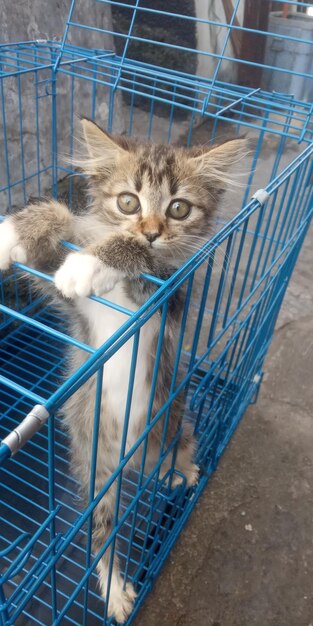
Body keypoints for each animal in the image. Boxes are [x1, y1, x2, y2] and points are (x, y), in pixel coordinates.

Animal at [0, 119, 244, 620]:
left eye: (179, 208)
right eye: (127, 201)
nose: (151, 231)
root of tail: (134, 462)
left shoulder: (169, 294)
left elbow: (144, 258)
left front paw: (95, 260)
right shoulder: (72, 309)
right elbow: (58, 228)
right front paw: (15, 232)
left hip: (173, 418)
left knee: (182, 445)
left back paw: (183, 472)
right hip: (97, 471)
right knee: (104, 532)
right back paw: (114, 589)